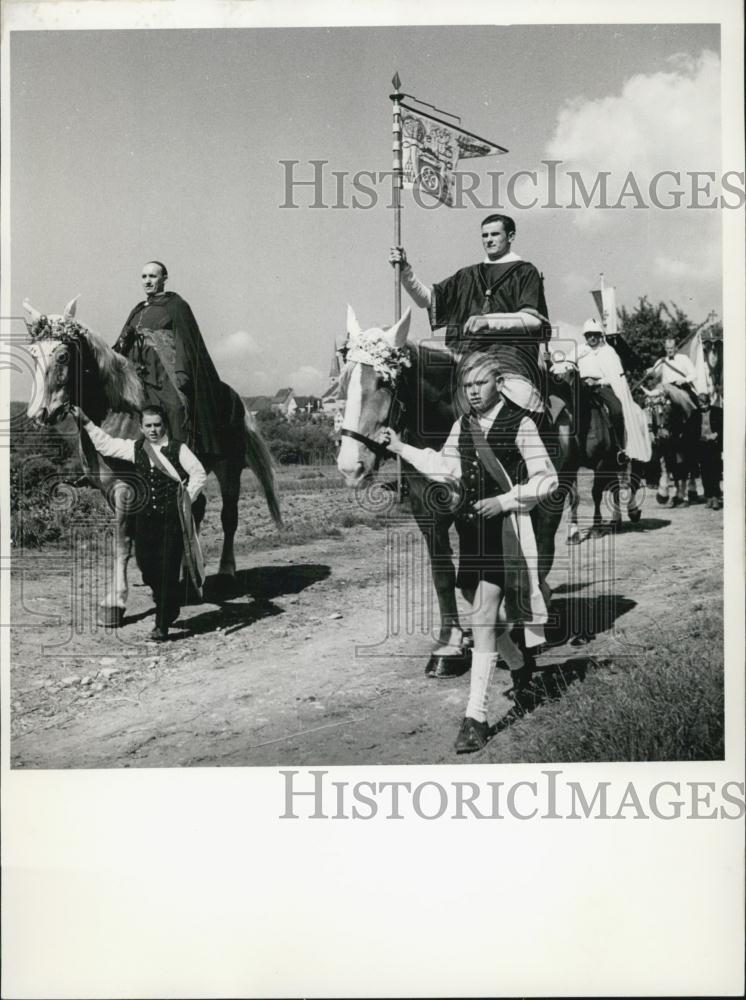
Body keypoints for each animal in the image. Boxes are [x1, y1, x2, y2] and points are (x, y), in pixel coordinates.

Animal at [24, 294, 282, 624]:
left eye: (63, 356)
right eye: (33, 354)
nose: (41, 414)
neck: (117, 411)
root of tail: (236, 398)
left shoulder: (126, 489)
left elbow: (122, 542)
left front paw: (114, 604)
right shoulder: (110, 491)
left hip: (229, 470)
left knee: (228, 517)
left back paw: (225, 573)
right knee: (195, 510)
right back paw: (188, 578)